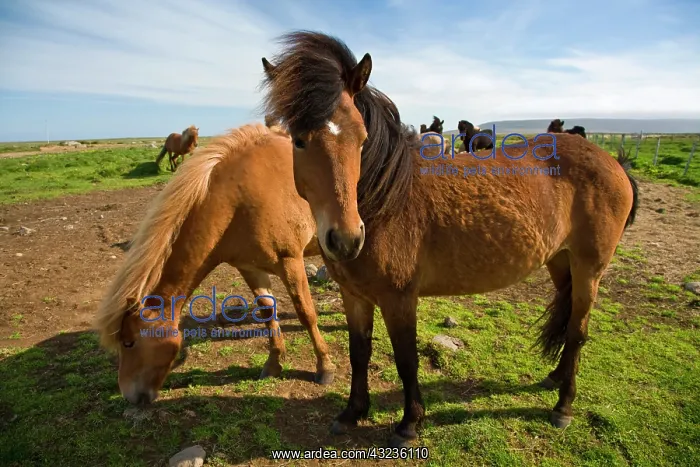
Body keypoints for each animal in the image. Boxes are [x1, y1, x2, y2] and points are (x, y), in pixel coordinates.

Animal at [95, 123, 337, 405]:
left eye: (129, 343)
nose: (129, 395)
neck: (239, 199)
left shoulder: (290, 262)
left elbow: (306, 313)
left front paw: (325, 367)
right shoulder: (249, 268)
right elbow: (267, 312)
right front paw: (274, 364)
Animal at [259, 31, 639, 448]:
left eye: (361, 138)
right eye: (298, 140)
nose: (345, 239)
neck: (387, 200)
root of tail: (613, 163)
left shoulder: (399, 298)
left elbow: (406, 359)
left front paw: (409, 423)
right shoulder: (354, 295)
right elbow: (359, 352)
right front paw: (352, 412)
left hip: (590, 268)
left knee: (578, 330)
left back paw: (563, 406)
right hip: (560, 261)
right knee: (569, 321)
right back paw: (555, 377)